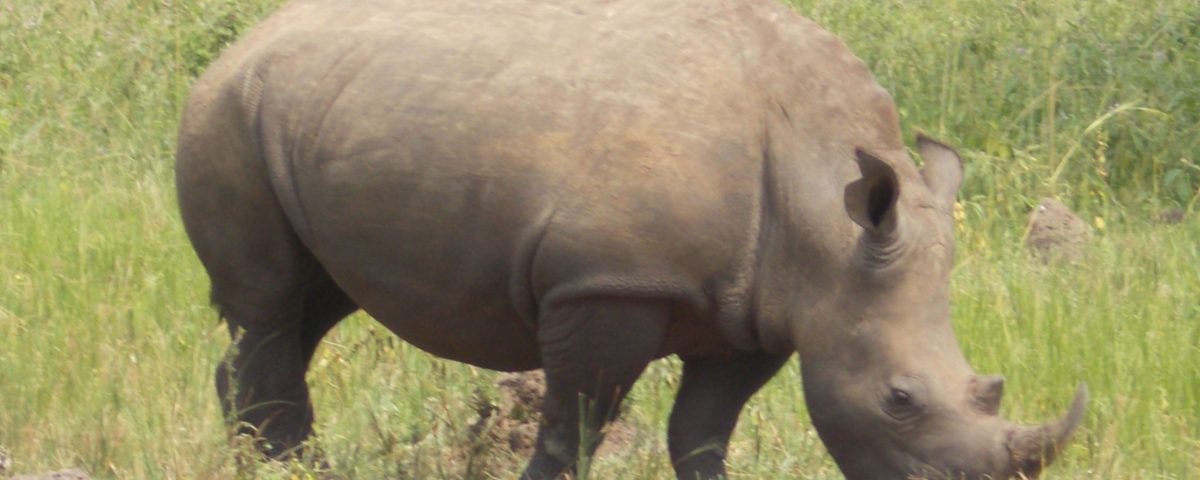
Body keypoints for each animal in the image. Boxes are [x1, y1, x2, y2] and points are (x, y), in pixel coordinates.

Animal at [175, 0, 1087, 478]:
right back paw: (293, 467)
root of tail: (240, 43)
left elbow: (704, 431)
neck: (822, 212)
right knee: (270, 305)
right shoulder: (609, 281)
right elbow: (572, 426)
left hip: (314, 110)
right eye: (900, 400)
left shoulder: (757, 307)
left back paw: (264, 458)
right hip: (229, 113)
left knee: (313, 303)